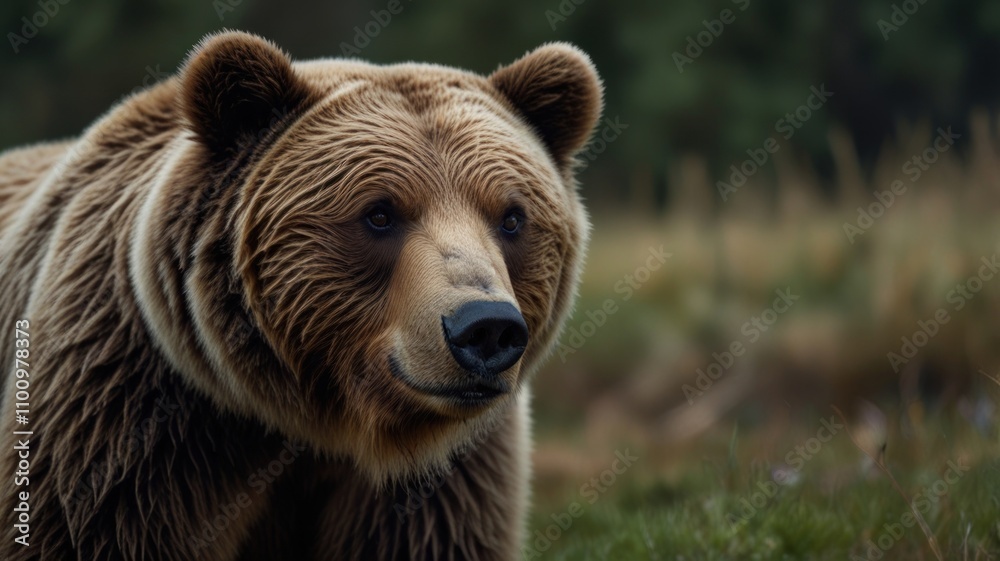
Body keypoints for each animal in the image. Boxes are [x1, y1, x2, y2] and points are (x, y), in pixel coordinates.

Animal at [0, 31, 601, 560]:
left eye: (512, 218)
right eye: (379, 214)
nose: (485, 327)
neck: (322, 424)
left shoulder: (443, 480)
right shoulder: (130, 421)